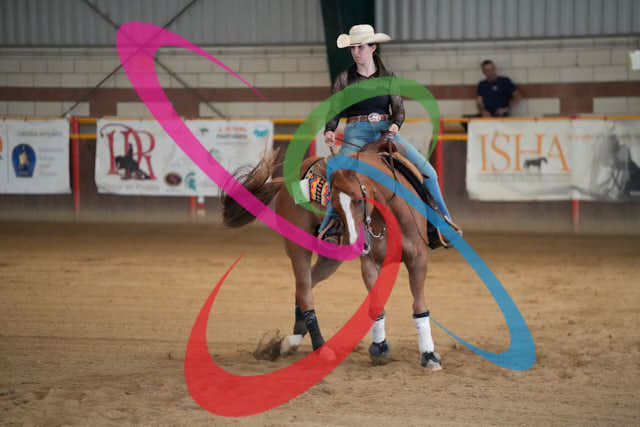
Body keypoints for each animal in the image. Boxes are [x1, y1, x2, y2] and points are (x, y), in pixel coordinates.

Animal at [221, 135, 443, 369]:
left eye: (359, 200)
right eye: (333, 203)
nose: (355, 244)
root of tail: (286, 180)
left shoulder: (418, 258)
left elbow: (419, 304)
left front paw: (429, 355)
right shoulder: (369, 261)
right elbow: (376, 304)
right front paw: (380, 348)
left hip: (331, 258)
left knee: (304, 287)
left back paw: (289, 342)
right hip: (298, 248)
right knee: (305, 291)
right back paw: (320, 347)